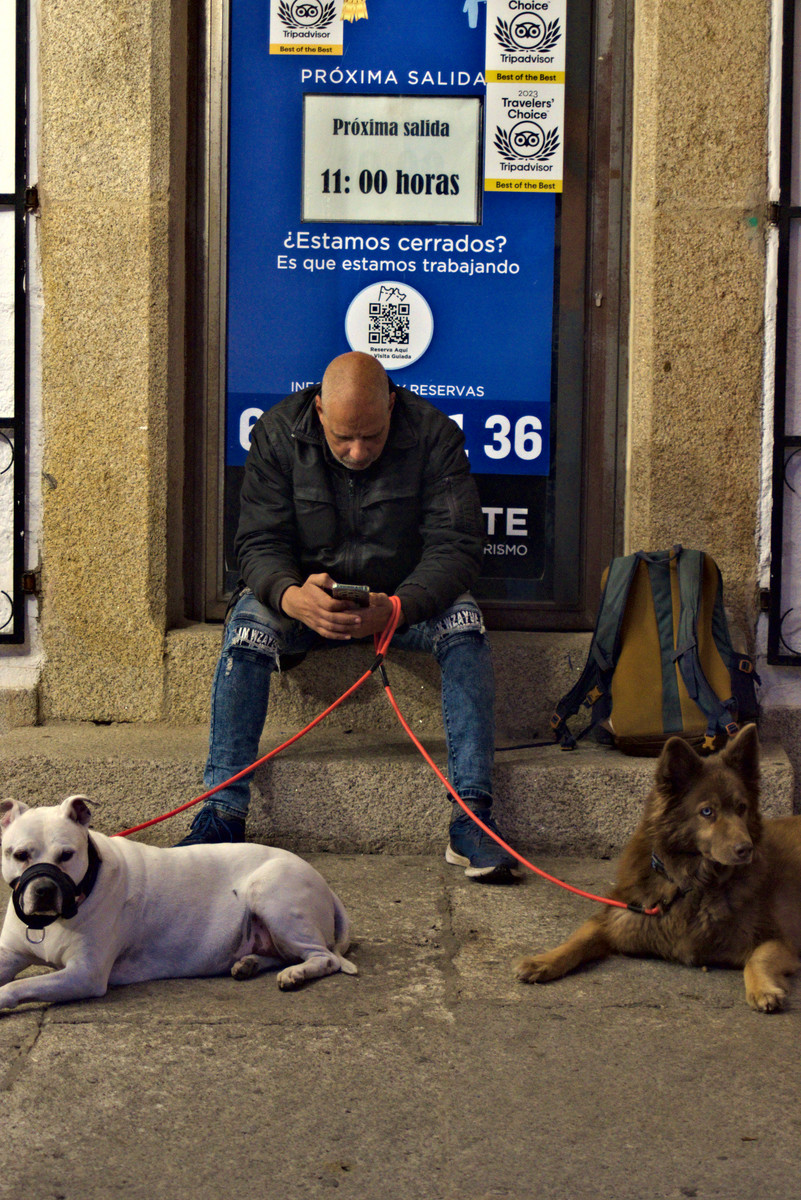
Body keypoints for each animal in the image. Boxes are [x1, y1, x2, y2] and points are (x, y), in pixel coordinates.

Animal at [0, 796, 357, 1012]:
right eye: (20, 855)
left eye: (66, 855)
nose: (44, 889)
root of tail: (325, 884)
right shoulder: (11, 954)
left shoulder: (83, 973)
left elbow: (23, 984)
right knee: (283, 953)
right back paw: (249, 964)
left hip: (272, 894)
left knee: (325, 957)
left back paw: (296, 974)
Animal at [513, 720, 801, 1012]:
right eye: (707, 812)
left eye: (742, 808)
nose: (746, 850)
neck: (692, 883)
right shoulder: (621, 915)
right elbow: (580, 939)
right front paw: (543, 961)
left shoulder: (779, 941)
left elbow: (757, 958)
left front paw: (763, 989)